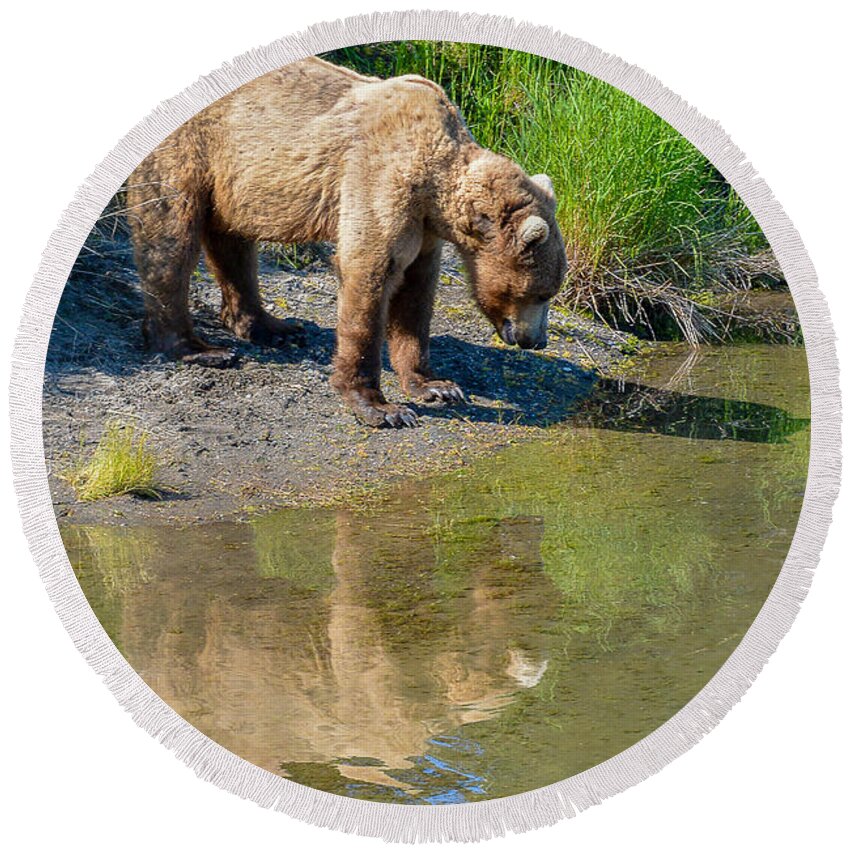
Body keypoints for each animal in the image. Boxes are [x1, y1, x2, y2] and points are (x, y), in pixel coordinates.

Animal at [127, 54, 564, 424]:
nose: (537, 341)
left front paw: (437, 385)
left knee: (231, 241)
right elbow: (369, 275)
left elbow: (415, 293)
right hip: (190, 149)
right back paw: (196, 347)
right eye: (543, 293)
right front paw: (381, 407)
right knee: (170, 236)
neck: (435, 181)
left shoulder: (424, 227)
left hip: (235, 178)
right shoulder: (380, 179)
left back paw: (273, 327)